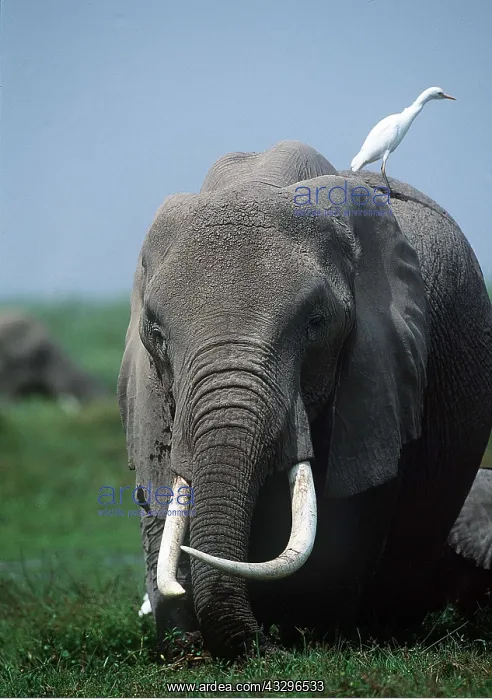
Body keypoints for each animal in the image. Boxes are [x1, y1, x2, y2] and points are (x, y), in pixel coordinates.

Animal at [118, 140, 492, 659]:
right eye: (155, 333)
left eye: (317, 323)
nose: (265, 644)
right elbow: (161, 504)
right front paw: (187, 645)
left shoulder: (378, 378)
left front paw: (306, 635)